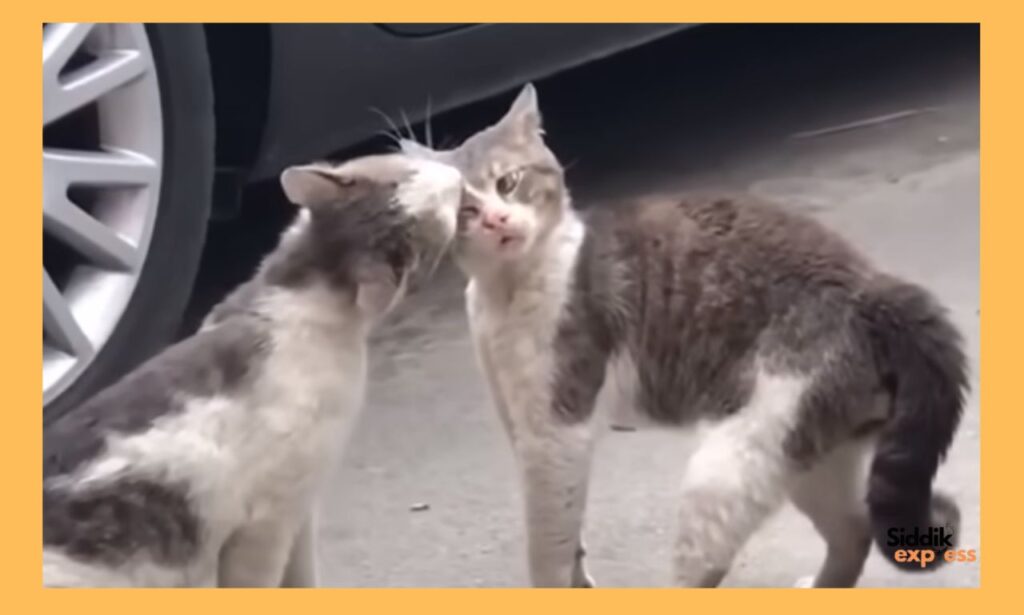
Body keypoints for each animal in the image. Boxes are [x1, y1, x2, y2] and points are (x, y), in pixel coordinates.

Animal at [41, 152, 462, 585]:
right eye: (410, 175)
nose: (456, 177)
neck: (309, 292)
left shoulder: (302, 507)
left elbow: (305, 576)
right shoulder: (268, 519)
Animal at [399, 83, 966, 589]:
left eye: (509, 182)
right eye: (463, 209)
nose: (496, 221)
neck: (505, 290)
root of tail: (877, 290)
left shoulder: (557, 427)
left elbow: (547, 546)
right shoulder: (521, 425)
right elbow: (566, 530)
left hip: (730, 467)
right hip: (813, 451)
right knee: (853, 530)